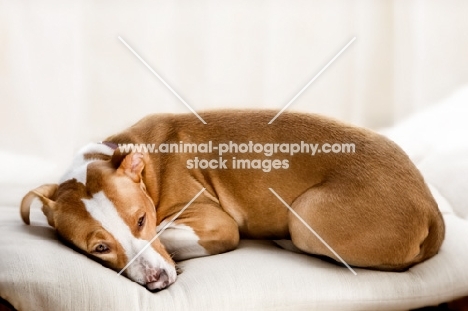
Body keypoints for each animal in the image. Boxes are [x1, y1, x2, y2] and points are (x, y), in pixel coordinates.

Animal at [20, 111, 444, 292]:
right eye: (100, 248)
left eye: (141, 219)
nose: (158, 281)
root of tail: (430, 208)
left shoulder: (215, 224)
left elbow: (167, 233)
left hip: (306, 217)